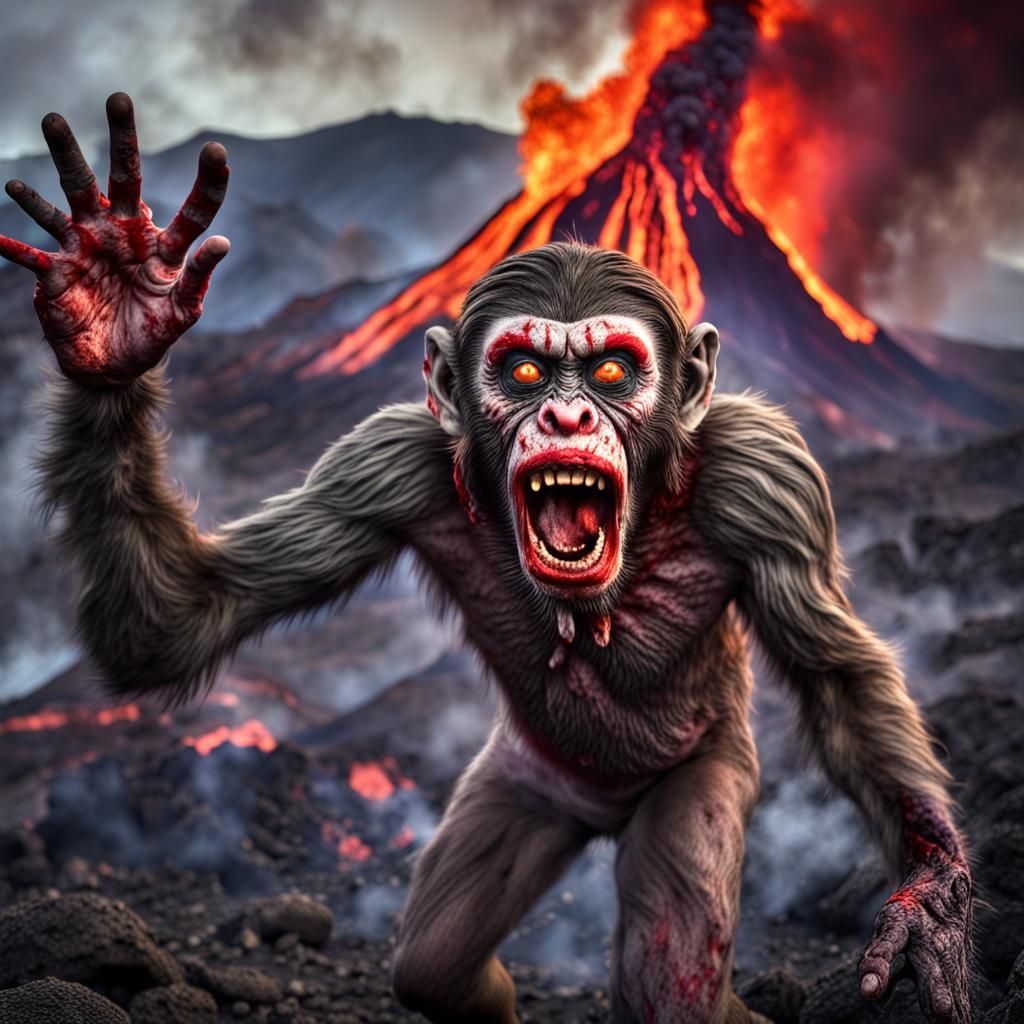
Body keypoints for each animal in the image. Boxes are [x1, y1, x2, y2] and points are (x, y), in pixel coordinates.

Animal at [0, 94, 973, 1024]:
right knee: (435, 956)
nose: (567, 415)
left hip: (705, 774)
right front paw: (113, 309)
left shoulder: (769, 477)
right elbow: (186, 614)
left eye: (613, 372)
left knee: (671, 972)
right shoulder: (380, 466)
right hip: (527, 783)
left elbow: (836, 674)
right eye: (527, 373)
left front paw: (928, 901)